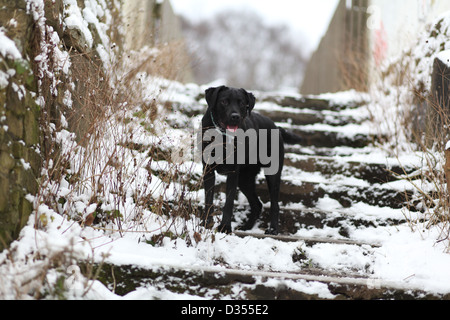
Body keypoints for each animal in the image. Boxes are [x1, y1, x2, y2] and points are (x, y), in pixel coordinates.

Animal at [202, 85, 304, 235]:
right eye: (224, 102)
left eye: (242, 103)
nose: (235, 117)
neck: (223, 138)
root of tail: (276, 127)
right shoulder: (208, 170)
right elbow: (208, 199)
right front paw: (205, 224)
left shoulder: (233, 173)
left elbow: (229, 202)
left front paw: (225, 227)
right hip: (244, 179)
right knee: (257, 204)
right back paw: (246, 227)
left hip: (272, 174)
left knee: (274, 204)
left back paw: (273, 229)